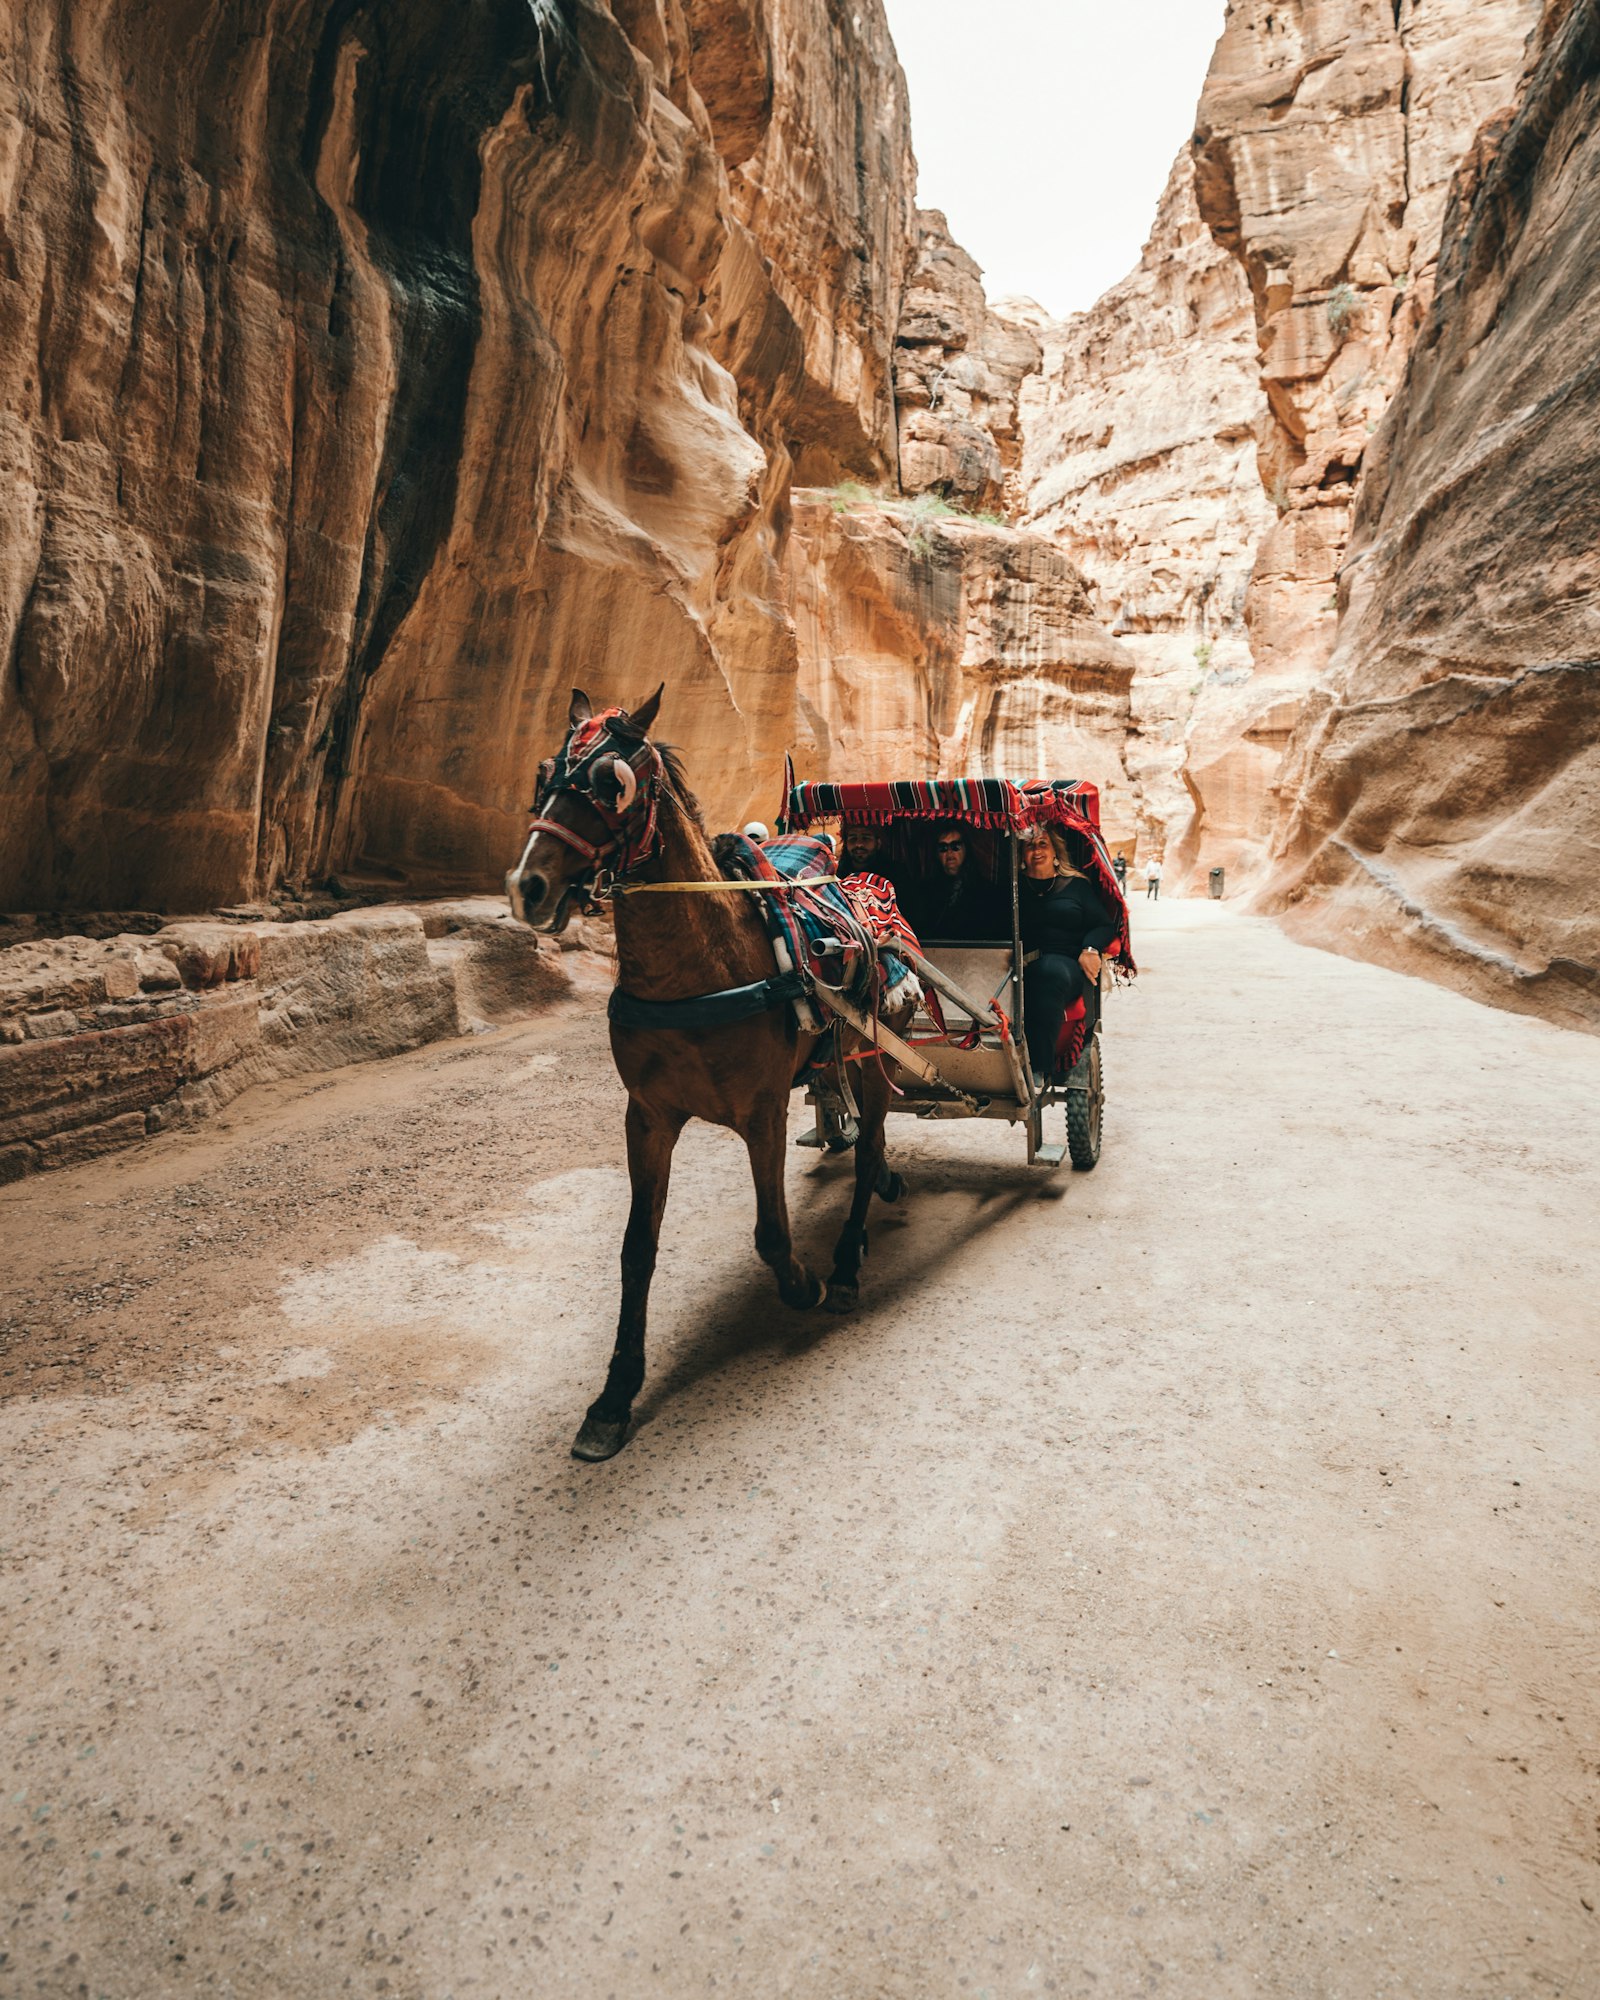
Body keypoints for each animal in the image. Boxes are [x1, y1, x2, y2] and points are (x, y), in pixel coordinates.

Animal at [512, 696, 912, 1464]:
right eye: (544, 773)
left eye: (612, 783)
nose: (529, 886)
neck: (701, 970)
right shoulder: (646, 1116)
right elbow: (636, 1251)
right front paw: (614, 1397)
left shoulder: (762, 1112)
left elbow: (772, 1235)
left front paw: (807, 1288)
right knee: (858, 1132)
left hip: (874, 1057)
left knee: (873, 1140)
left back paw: (848, 1262)